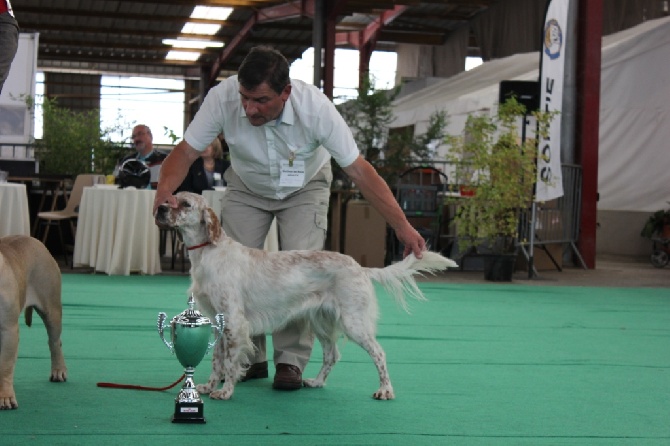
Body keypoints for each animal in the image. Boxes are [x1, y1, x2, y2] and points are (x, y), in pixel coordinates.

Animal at [0, 235, 67, 410]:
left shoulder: (7, 330)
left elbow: (5, 366)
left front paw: (5, 397)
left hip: (51, 310)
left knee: (55, 342)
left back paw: (58, 371)